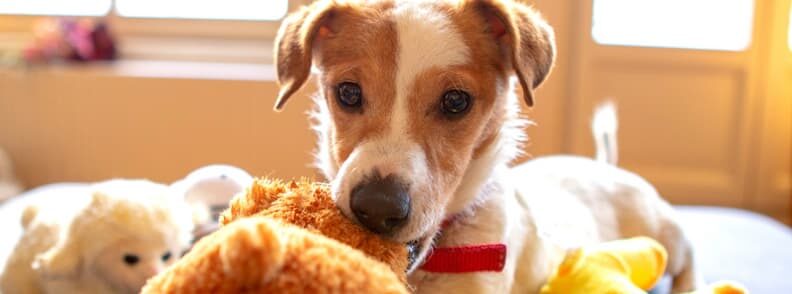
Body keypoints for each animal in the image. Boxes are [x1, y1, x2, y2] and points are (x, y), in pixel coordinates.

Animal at [272, 0, 700, 292]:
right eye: (347, 93)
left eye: (455, 101)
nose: (377, 208)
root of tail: (604, 166)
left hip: (665, 236)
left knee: (689, 258)